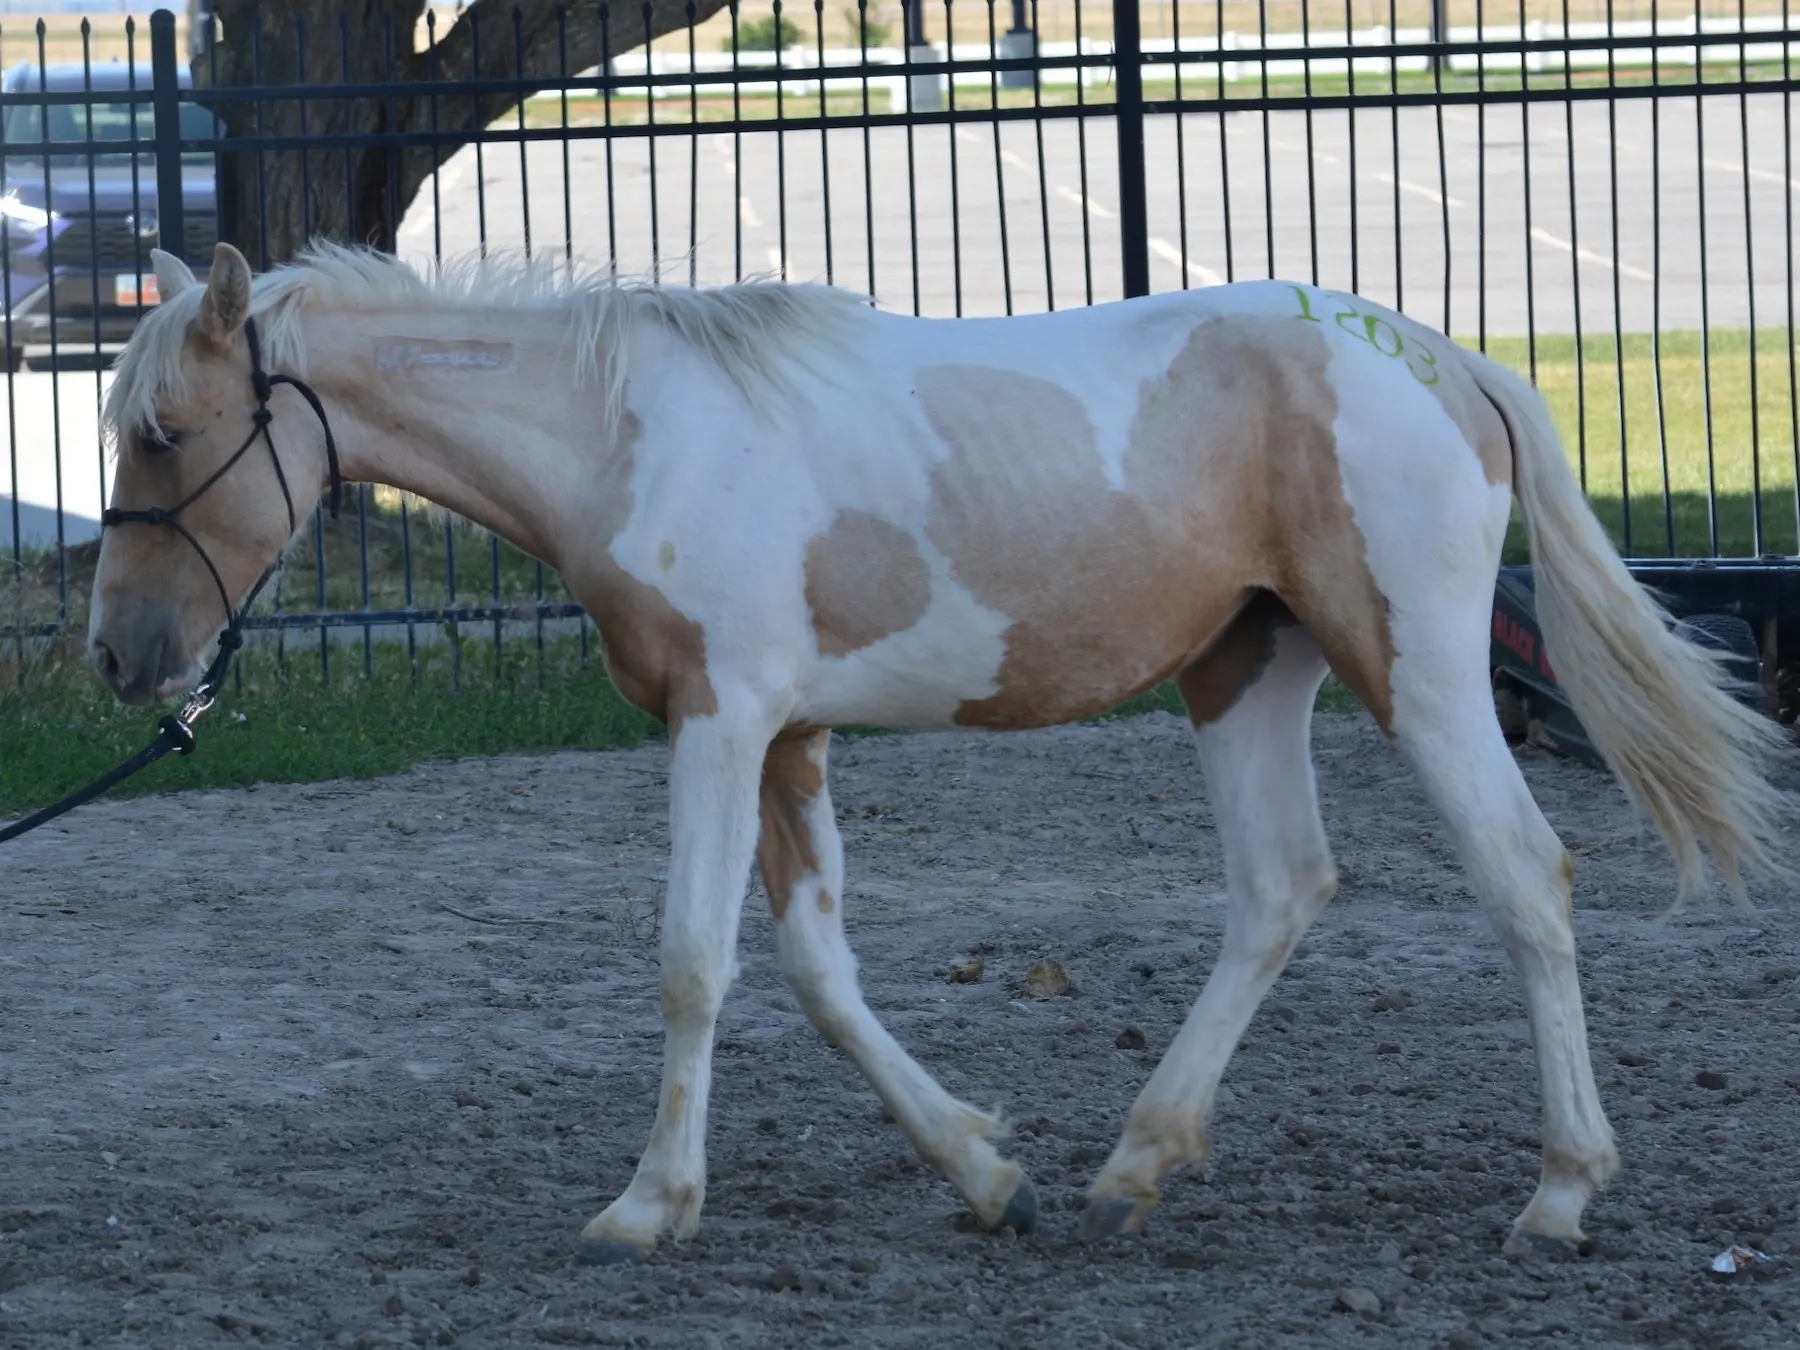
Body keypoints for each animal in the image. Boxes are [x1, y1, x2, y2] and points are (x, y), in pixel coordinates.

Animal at [91, 243, 1792, 1267]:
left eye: (166, 432)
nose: (118, 657)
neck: (630, 435)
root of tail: (1446, 361)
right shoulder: (787, 738)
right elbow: (818, 973)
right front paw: (985, 1169)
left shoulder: (720, 721)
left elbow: (693, 960)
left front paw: (648, 1204)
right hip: (1246, 669)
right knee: (1281, 888)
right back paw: (1133, 1162)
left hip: (1417, 667)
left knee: (1525, 876)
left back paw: (1559, 1191)